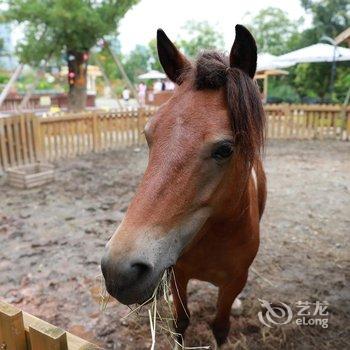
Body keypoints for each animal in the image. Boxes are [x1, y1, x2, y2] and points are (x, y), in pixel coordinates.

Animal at [101, 23, 266, 344]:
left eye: (225, 149)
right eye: (148, 134)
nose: (119, 270)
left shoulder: (233, 283)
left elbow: (220, 328)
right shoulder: (177, 275)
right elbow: (181, 323)